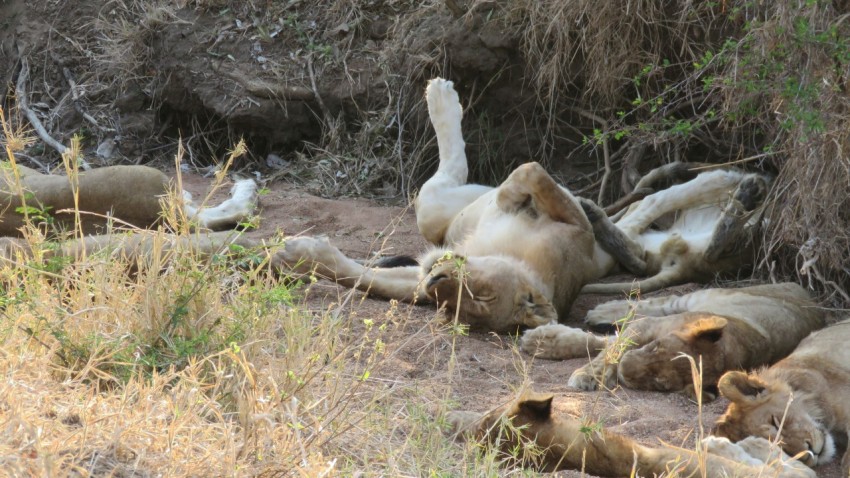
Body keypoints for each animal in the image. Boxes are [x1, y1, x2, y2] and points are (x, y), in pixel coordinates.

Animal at [520, 284, 824, 400]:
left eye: (660, 384)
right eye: (656, 347)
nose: (626, 372)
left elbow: (608, 348)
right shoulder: (647, 327)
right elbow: (611, 350)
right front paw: (587, 375)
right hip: (697, 297)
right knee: (649, 303)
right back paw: (599, 312)